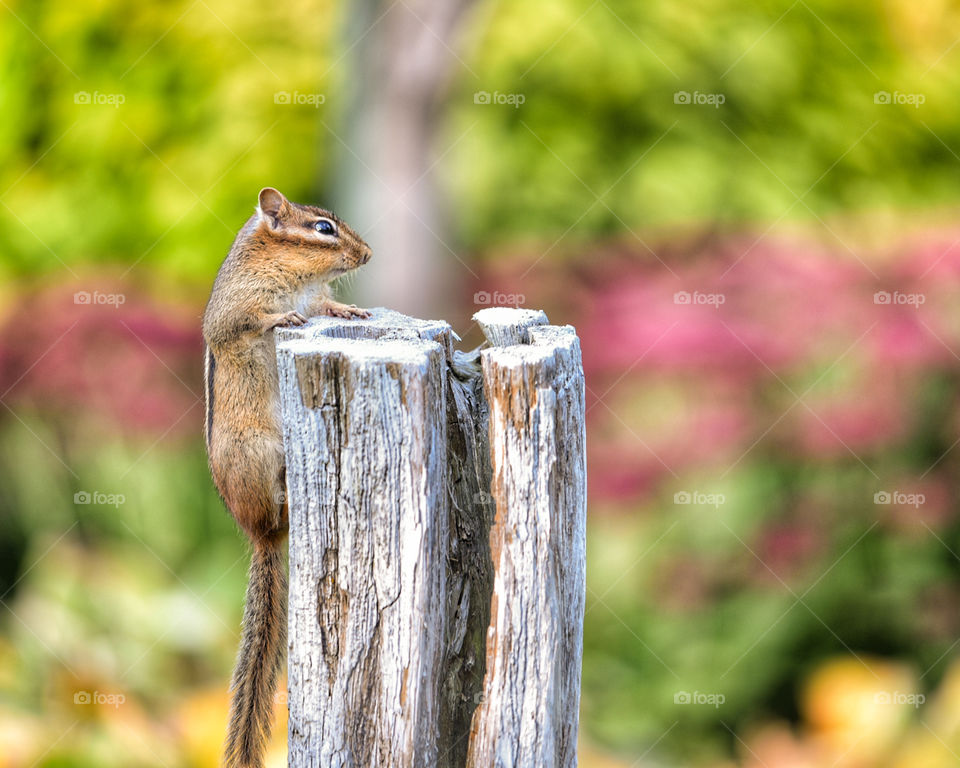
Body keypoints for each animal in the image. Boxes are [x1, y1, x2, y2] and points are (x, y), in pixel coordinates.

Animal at [202, 187, 371, 768]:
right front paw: (282, 322)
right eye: (323, 229)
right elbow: (251, 321)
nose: (367, 255)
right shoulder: (238, 306)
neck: (294, 277)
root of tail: (261, 536)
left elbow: (323, 307)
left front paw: (348, 308)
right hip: (258, 452)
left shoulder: (313, 297)